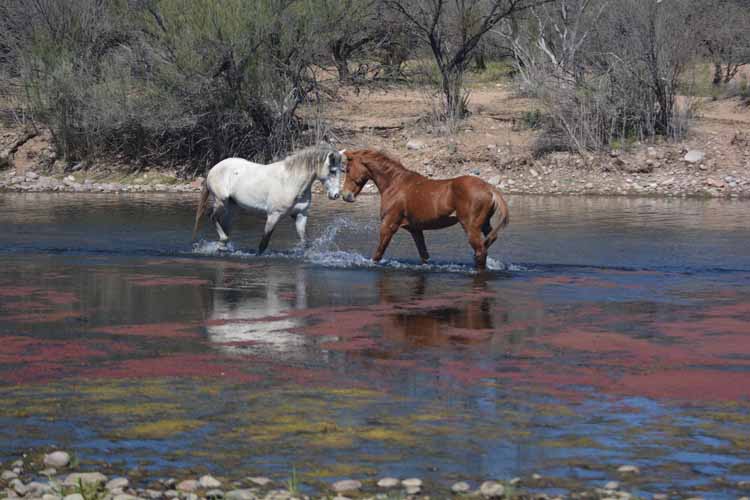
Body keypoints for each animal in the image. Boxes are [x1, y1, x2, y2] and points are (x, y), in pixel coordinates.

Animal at [194, 145, 346, 254]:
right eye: (332, 171)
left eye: (341, 170)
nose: (335, 195)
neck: (291, 181)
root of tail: (214, 168)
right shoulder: (274, 215)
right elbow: (263, 244)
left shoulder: (300, 215)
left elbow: (305, 242)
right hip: (221, 201)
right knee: (212, 217)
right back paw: (223, 241)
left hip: (231, 207)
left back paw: (222, 247)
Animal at [342, 148, 512, 270]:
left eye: (347, 169)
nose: (345, 196)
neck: (394, 184)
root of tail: (489, 188)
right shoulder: (415, 229)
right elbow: (424, 255)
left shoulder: (389, 225)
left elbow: (378, 253)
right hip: (484, 224)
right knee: (487, 243)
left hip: (471, 227)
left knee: (480, 251)